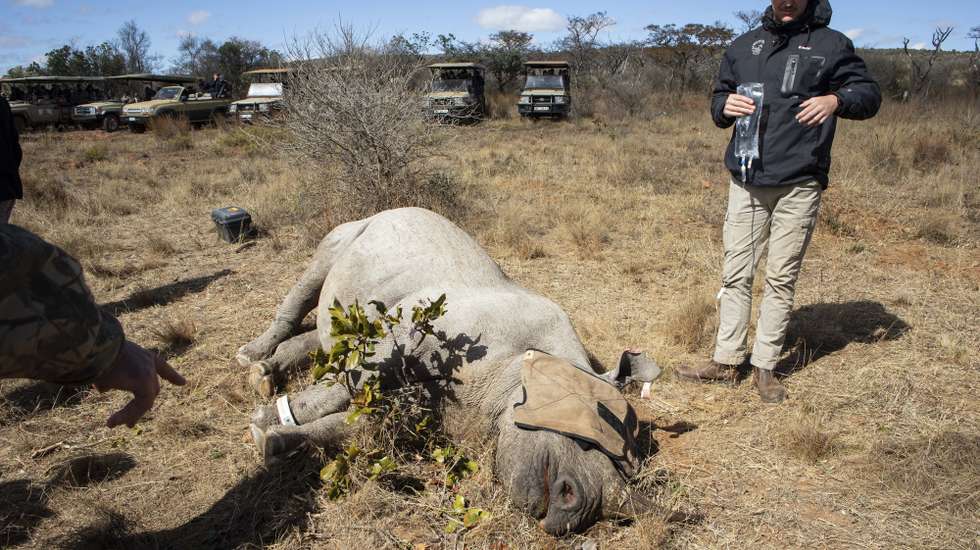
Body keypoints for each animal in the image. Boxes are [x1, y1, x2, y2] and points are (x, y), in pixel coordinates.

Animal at [238, 208, 661, 535]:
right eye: (587, 438)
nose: (575, 513)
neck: (512, 375)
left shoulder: (434, 410)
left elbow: (359, 427)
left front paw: (273, 443)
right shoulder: (406, 334)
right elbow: (351, 385)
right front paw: (262, 422)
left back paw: (262, 375)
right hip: (355, 230)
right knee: (315, 276)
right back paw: (249, 359)